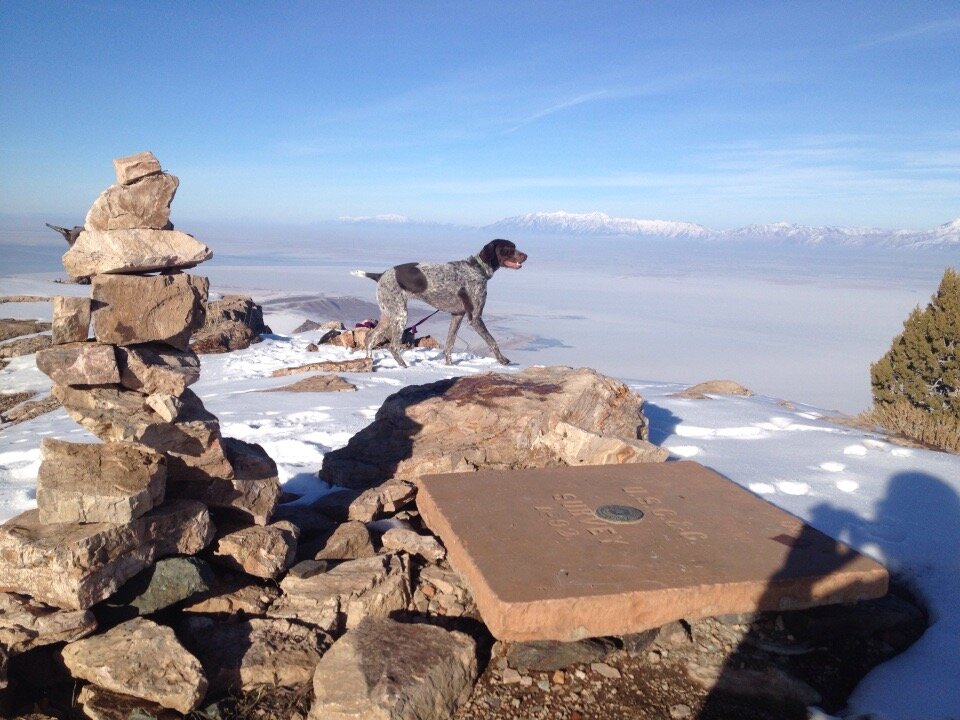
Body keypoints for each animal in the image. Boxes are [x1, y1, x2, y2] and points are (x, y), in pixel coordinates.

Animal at [352, 240, 528, 368]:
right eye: (509, 248)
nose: (526, 256)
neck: (477, 269)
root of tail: (381, 275)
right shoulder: (475, 317)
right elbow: (492, 341)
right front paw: (503, 360)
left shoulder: (457, 315)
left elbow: (449, 345)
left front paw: (449, 366)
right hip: (400, 315)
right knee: (393, 346)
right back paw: (404, 367)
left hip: (388, 315)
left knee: (369, 337)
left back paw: (369, 361)